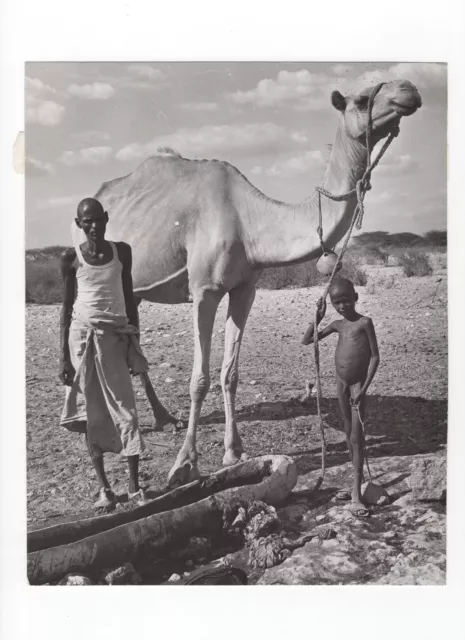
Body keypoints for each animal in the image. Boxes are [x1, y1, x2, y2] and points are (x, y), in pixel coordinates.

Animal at [94, 79, 420, 484]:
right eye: (361, 99)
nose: (409, 89)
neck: (248, 221)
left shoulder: (244, 288)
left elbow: (230, 372)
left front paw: (234, 452)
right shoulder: (204, 289)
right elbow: (199, 378)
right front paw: (184, 463)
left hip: (132, 289)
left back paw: (163, 417)